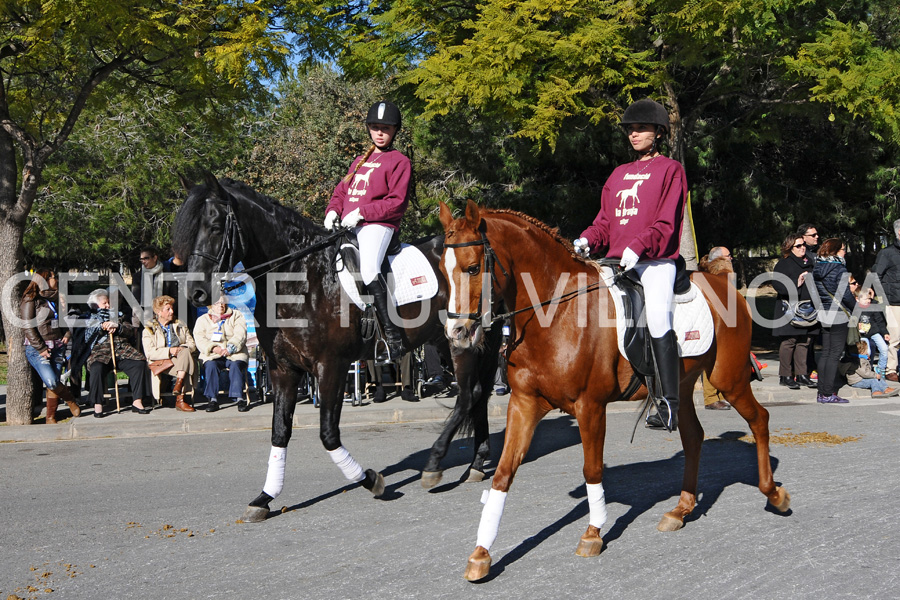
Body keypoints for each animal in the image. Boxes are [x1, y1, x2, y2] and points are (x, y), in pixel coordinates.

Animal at [172, 175, 502, 520]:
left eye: (215, 227)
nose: (194, 293)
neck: (301, 279)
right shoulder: (282, 368)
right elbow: (279, 431)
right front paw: (264, 497)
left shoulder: (330, 365)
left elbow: (328, 435)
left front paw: (370, 480)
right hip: (448, 339)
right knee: (478, 394)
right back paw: (476, 463)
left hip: (463, 340)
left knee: (470, 394)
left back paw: (438, 465)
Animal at [440, 200, 792, 580]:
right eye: (443, 271)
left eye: (473, 268)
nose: (456, 334)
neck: (556, 311)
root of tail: (721, 279)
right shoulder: (523, 404)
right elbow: (503, 474)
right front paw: (481, 553)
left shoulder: (590, 406)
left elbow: (592, 469)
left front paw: (593, 533)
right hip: (681, 387)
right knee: (694, 437)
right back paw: (681, 510)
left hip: (730, 380)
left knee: (760, 420)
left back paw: (774, 494)